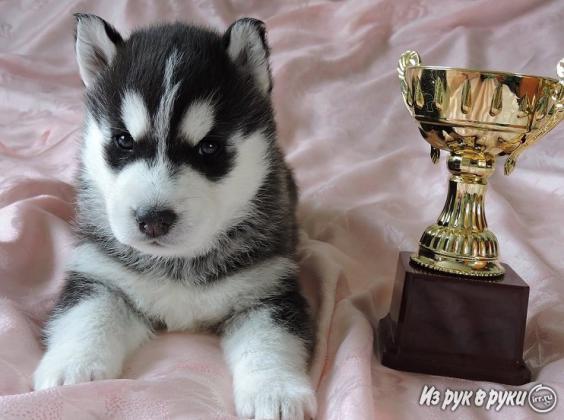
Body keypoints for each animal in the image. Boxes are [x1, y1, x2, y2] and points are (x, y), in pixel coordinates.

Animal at [34, 13, 318, 420]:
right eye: (123, 140)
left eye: (209, 147)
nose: (153, 219)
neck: (177, 263)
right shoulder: (100, 271)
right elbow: (88, 314)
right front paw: (70, 370)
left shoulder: (267, 288)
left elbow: (270, 342)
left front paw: (277, 394)